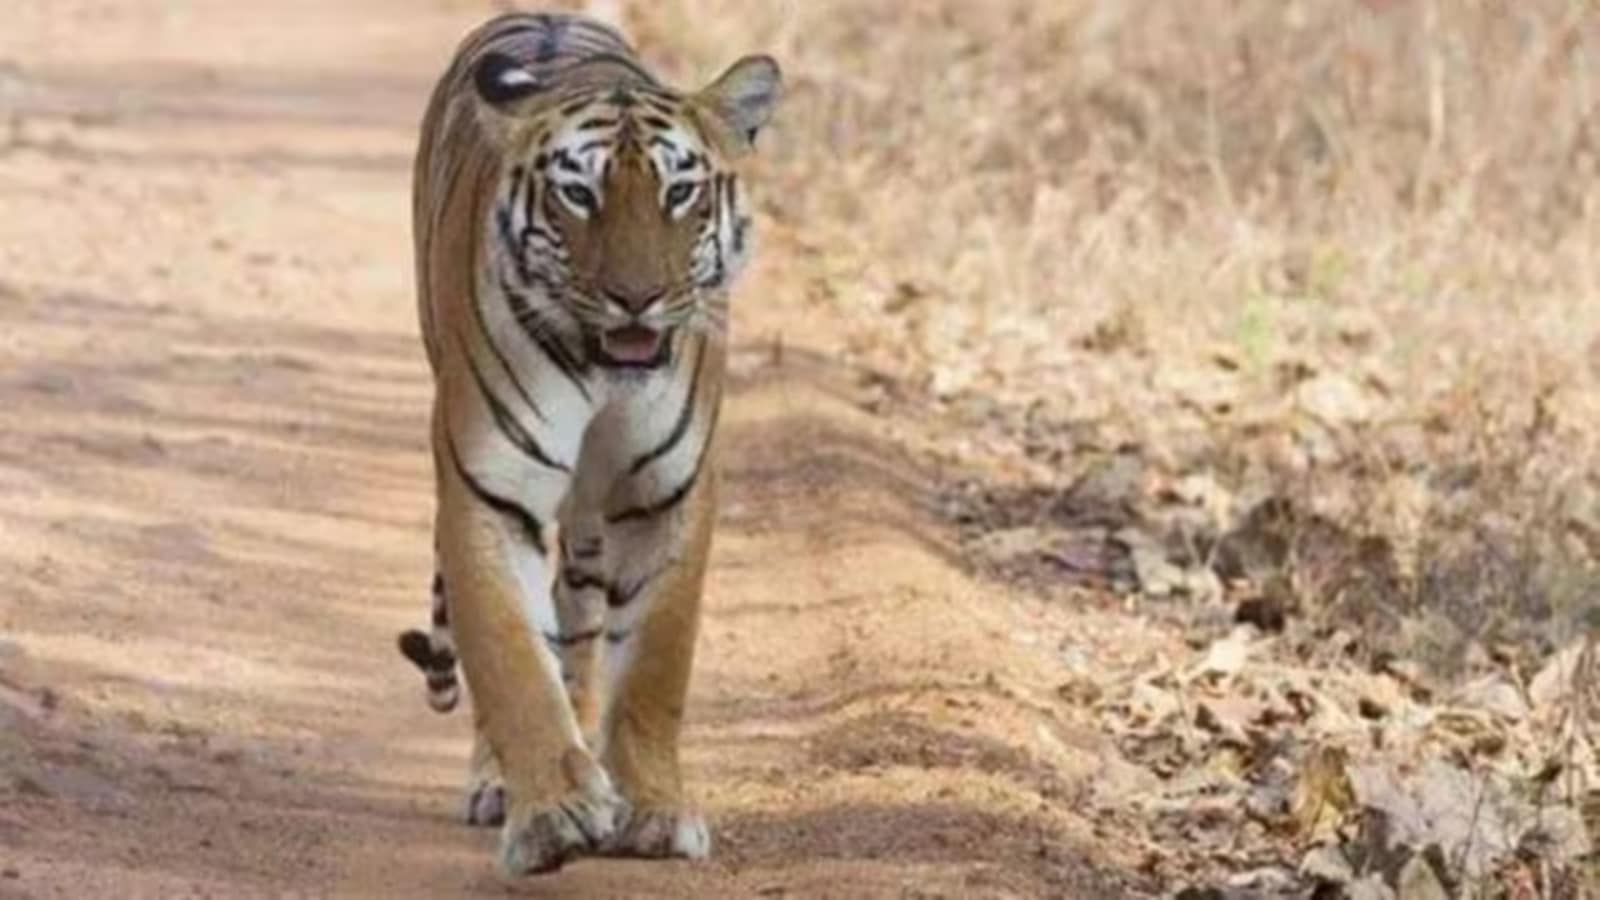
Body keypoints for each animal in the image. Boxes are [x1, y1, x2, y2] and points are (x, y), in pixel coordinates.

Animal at [391, 11, 781, 875]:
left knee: (579, 620)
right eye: (579, 194)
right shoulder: (488, 491)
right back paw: (502, 783)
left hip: (591, 522)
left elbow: (654, 667)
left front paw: (653, 812)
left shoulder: (668, 495)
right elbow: (509, 656)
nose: (636, 299)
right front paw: (553, 815)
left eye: (679, 192)